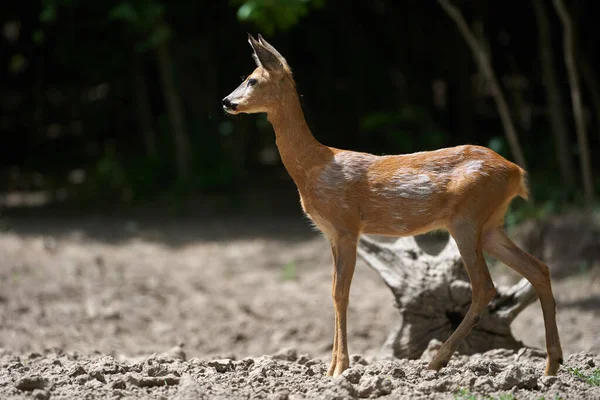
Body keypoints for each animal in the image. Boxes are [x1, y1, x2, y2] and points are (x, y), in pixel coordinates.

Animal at [221, 32, 564, 376]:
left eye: (252, 80)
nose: (226, 101)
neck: (313, 167)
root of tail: (516, 172)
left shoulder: (346, 226)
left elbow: (341, 293)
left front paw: (340, 368)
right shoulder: (330, 233)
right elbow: (333, 292)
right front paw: (330, 368)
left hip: (467, 218)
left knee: (485, 287)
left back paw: (437, 360)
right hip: (490, 224)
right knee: (538, 268)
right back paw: (551, 365)